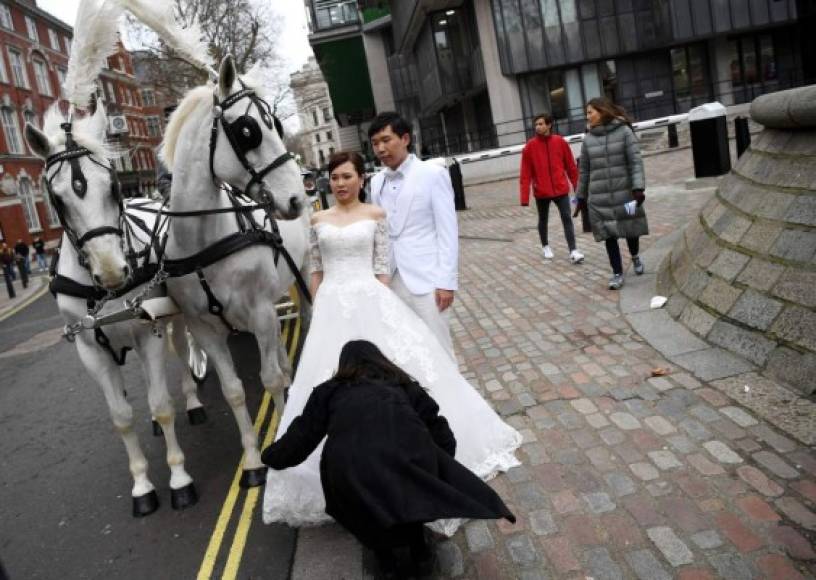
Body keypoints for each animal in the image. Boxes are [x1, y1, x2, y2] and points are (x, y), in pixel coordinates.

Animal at [25, 104, 207, 516]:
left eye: (113, 186)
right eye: (57, 199)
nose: (112, 272)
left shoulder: (146, 331)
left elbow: (161, 404)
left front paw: (179, 478)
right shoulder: (90, 349)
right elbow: (122, 417)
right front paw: (142, 485)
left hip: (171, 317)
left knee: (182, 350)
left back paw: (193, 400)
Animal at [159, 56, 312, 488]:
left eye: (277, 125)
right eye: (248, 131)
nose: (298, 198)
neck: (205, 243)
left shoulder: (259, 312)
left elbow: (268, 378)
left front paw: (279, 434)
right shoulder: (204, 328)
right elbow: (234, 391)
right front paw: (253, 461)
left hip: (303, 271)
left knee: (303, 318)